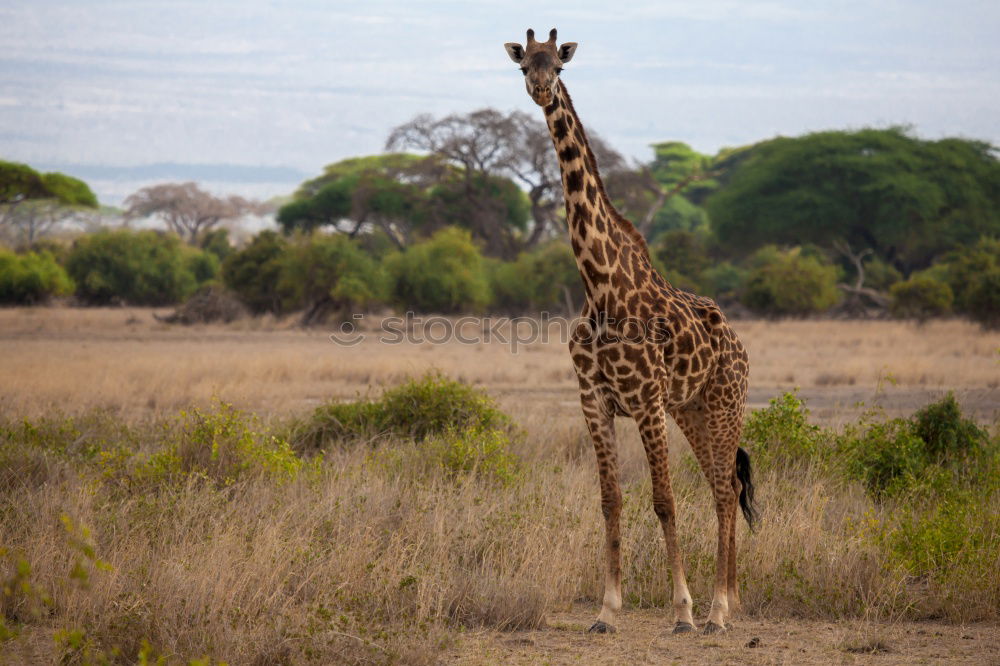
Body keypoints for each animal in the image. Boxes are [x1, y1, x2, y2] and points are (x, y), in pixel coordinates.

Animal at [504, 29, 752, 632]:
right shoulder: (593, 398)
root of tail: (738, 345)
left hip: (725, 402)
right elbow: (610, 499)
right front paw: (607, 610)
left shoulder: (644, 400)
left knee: (724, 489)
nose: (541, 91)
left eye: (558, 64)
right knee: (724, 484)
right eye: (523, 65)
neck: (599, 288)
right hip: (691, 409)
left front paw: (682, 611)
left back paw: (717, 610)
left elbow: (663, 499)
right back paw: (730, 601)